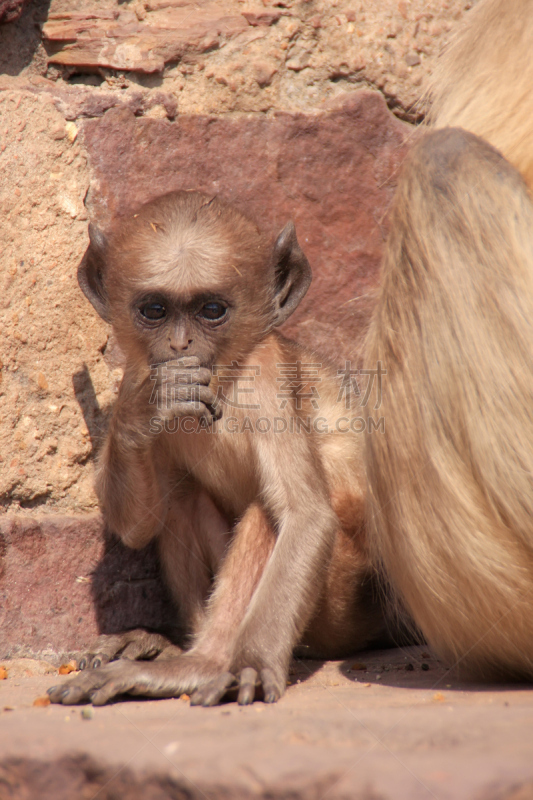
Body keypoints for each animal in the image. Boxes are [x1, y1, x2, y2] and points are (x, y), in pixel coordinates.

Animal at [48, 189, 382, 708]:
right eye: (155, 311)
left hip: (342, 601)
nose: (181, 343)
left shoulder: (265, 372)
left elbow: (307, 516)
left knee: (267, 512)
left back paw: (202, 663)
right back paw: (171, 647)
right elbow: (136, 526)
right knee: (181, 498)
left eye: (210, 310)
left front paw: (252, 664)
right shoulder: (139, 372)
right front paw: (148, 411)